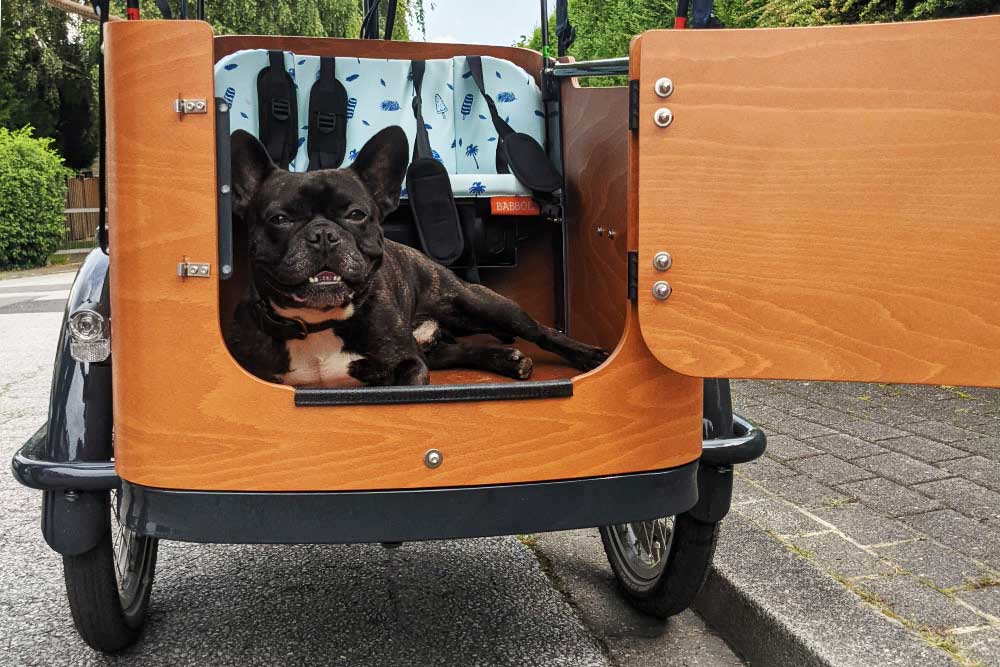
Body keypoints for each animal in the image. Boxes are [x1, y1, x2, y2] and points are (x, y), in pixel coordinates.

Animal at [225, 127, 608, 386]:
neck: (322, 324)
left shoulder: (408, 367)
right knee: (457, 350)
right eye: (280, 219)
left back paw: (589, 355)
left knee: (540, 330)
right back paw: (508, 360)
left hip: (482, 304)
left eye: (356, 215)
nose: (323, 235)